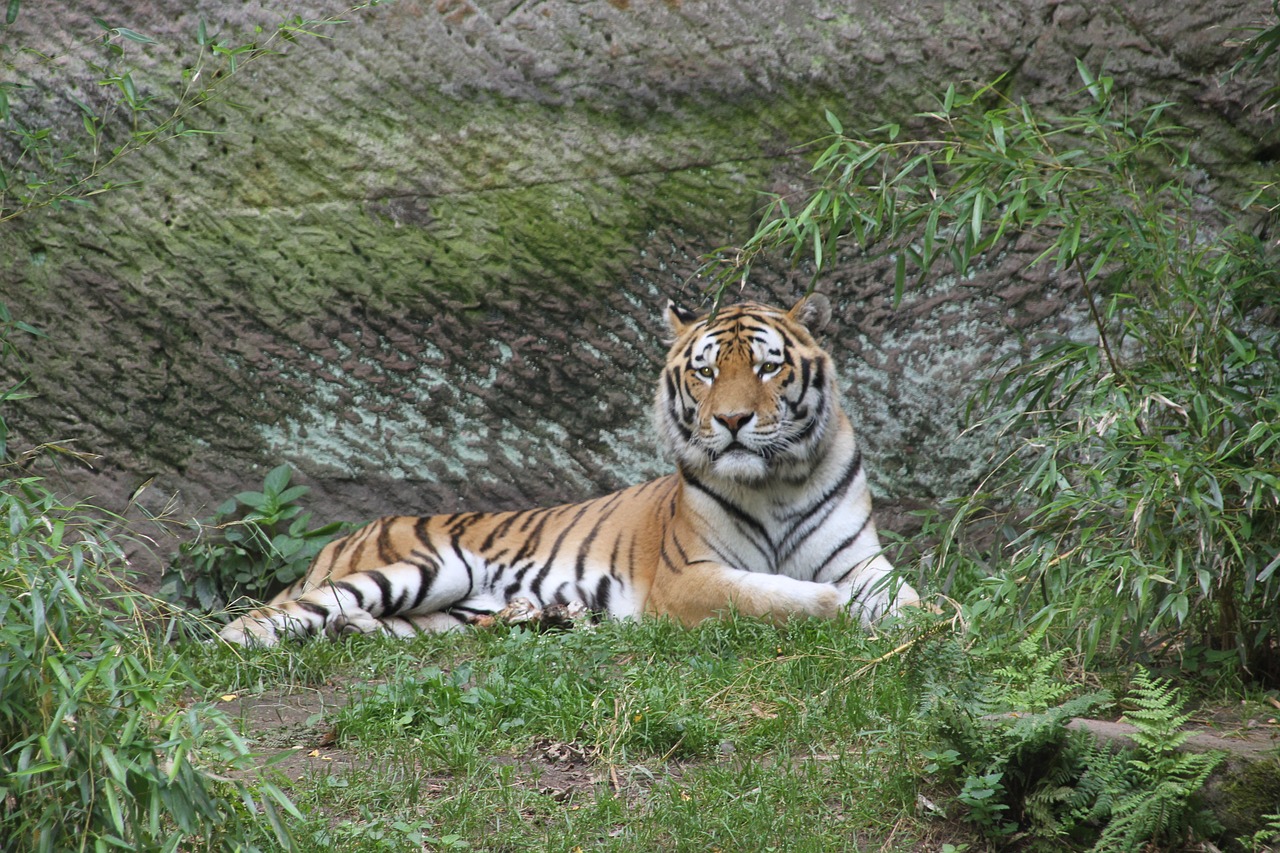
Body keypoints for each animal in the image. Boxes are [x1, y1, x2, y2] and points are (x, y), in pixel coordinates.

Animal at [220, 294, 921, 645]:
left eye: (769, 367)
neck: (774, 482)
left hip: (448, 610)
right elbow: (773, 595)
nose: (731, 420)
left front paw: (926, 617)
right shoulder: (689, 577)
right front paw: (841, 610)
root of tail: (340, 539)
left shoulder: (861, 559)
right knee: (252, 624)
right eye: (705, 371)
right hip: (421, 568)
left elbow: (906, 596)